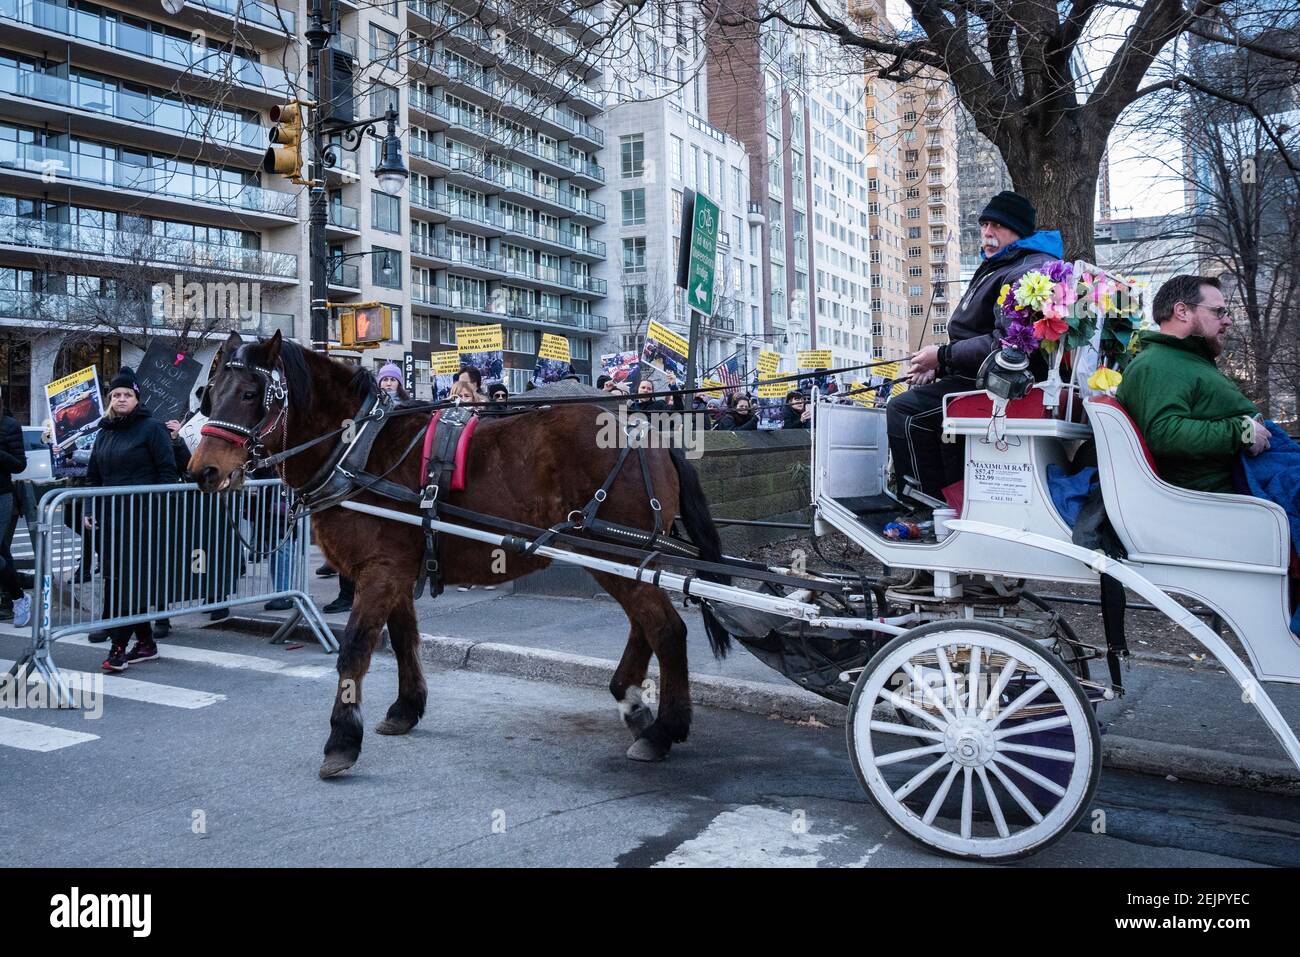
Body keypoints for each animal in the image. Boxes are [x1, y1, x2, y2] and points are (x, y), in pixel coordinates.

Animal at [188, 331, 732, 779]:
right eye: (209, 392)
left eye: (252, 394)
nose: (202, 471)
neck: (358, 449)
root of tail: (647, 430)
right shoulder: (397, 570)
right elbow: (403, 639)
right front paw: (405, 708)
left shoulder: (378, 572)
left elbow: (355, 649)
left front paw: (342, 739)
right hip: (616, 556)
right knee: (645, 625)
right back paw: (632, 702)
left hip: (617, 551)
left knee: (666, 629)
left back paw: (663, 730)